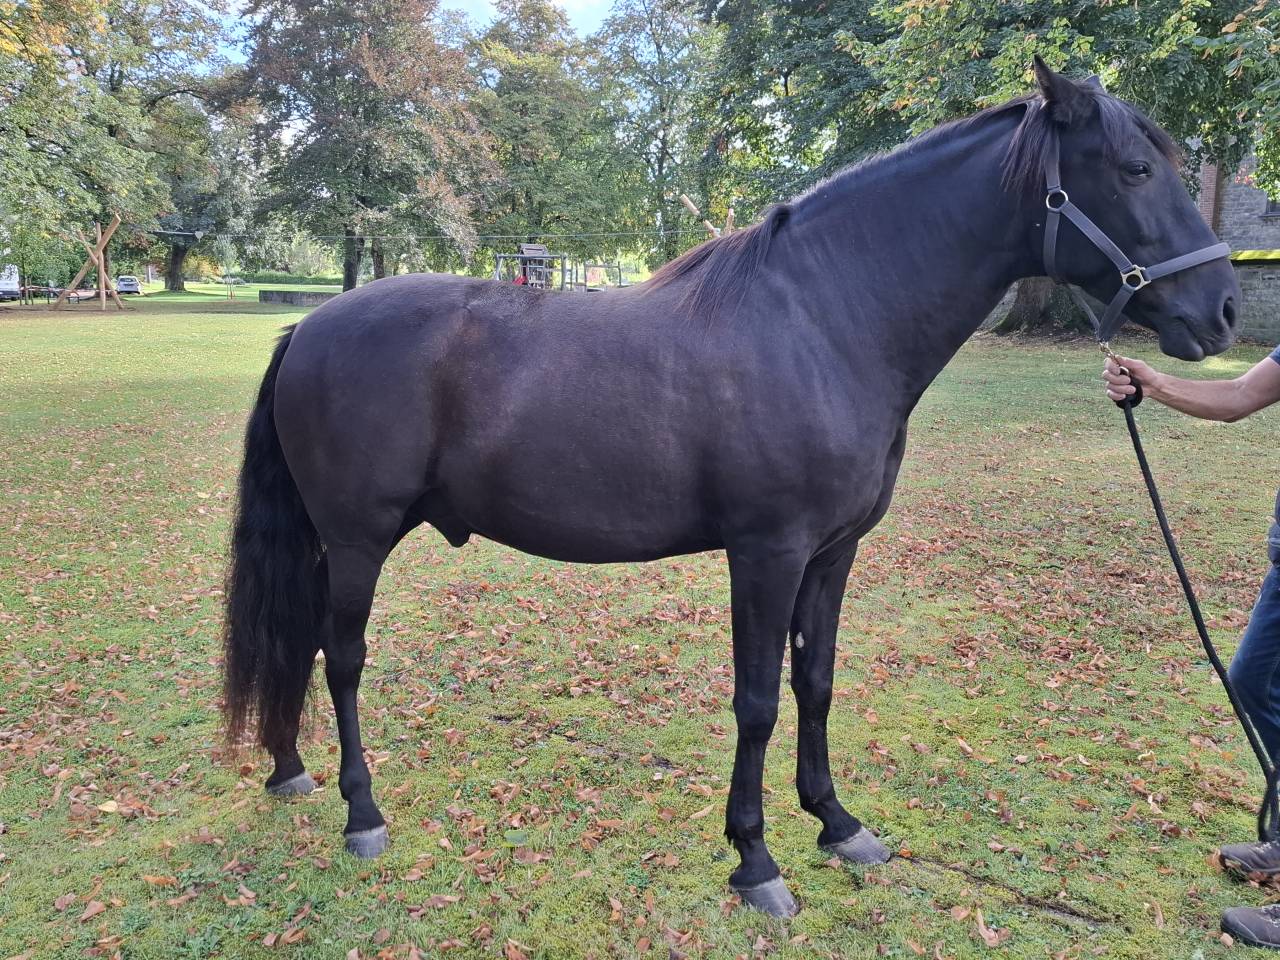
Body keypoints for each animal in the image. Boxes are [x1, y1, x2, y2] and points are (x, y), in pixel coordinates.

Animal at [222, 59, 1240, 916]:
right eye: (1136, 168)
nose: (1222, 311)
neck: (824, 321)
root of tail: (308, 328)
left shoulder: (832, 554)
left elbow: (815, 683)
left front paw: (837, 823)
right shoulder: (766, 553)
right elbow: (757, 702)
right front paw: (755, 860)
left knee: (300, 643)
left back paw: (288, 766)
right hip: (358, 538)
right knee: (341, 657)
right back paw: (361, 814)